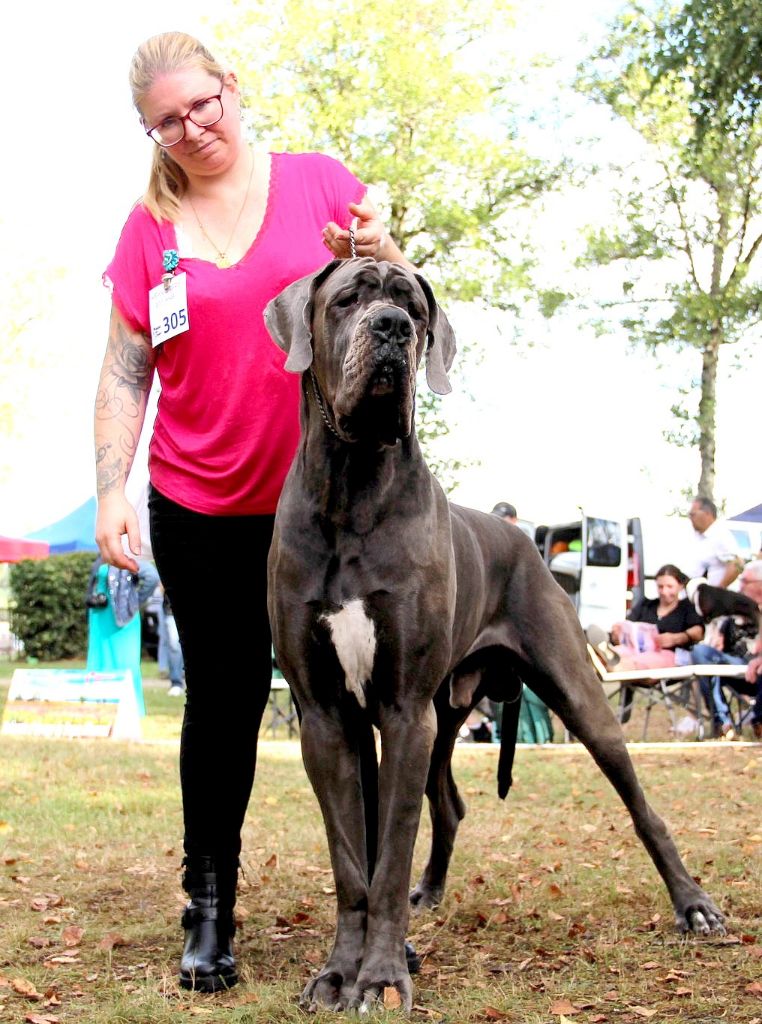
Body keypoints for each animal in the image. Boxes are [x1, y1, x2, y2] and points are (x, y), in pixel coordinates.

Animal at [264, 260, 725, 1011]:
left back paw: (694, 905)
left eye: (416, 309)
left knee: (640, 805)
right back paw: (430, 893)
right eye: (348, 299)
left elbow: (388, 855)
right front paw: (340, 971)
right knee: (448, 806)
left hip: (567, 695)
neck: (353, 487)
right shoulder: (327, 718)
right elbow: (353, 862)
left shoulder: (403, 711)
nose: (392, 328)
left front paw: (381, 977)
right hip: (445, 714)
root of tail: (526, 541)